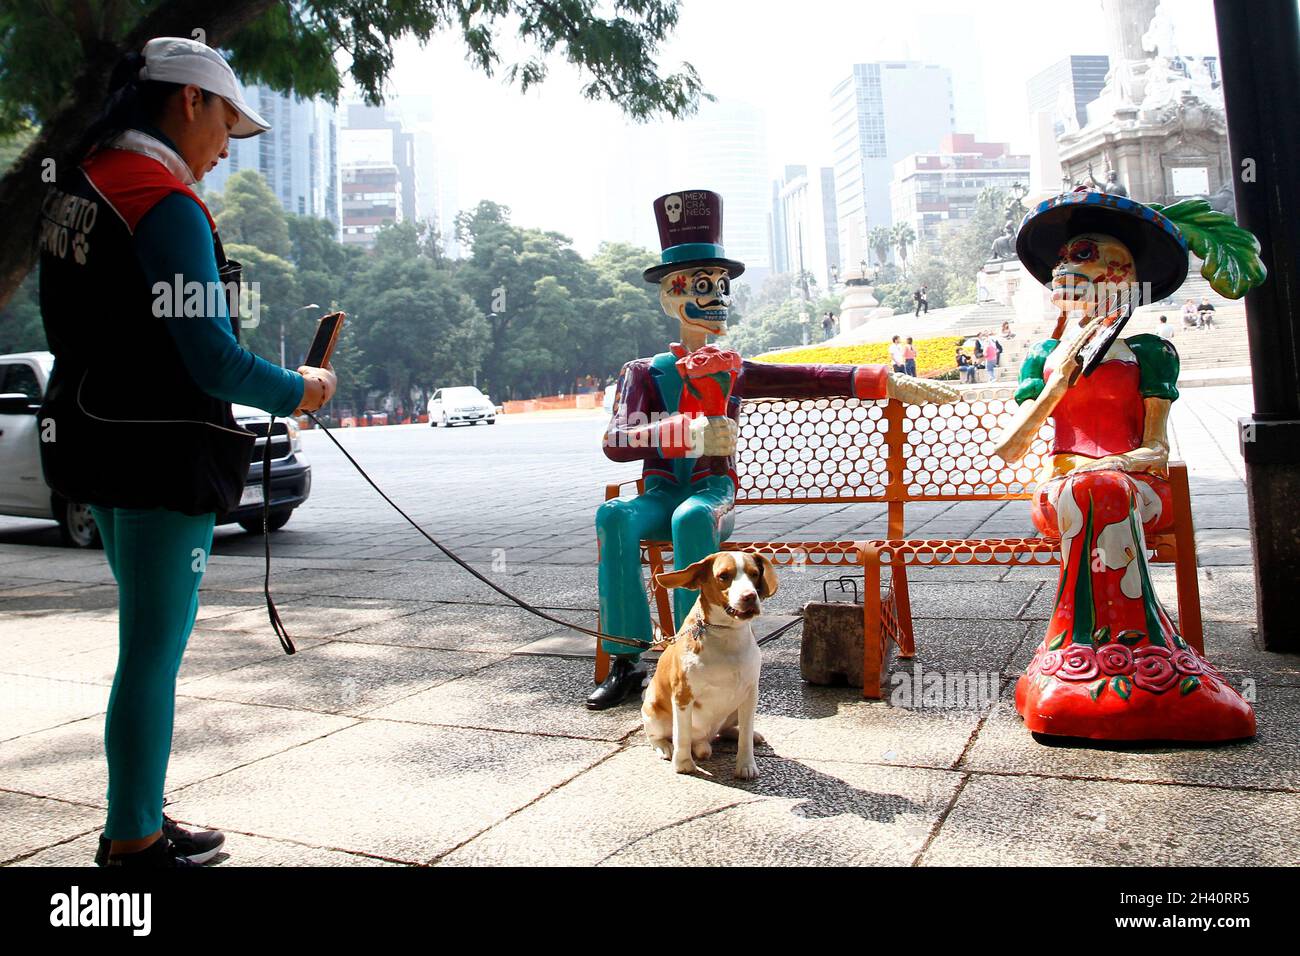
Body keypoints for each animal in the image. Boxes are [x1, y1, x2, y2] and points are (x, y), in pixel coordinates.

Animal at [644, 554, 774, 780]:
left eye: (755, 574)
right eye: (723, 576)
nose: (749, 596)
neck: (726, 633)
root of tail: (704, 739)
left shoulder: (750, 693)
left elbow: (746, 735)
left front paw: (746, 764)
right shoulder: (682, 695)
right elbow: (682, 735)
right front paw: (683, 763)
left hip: (734, 709)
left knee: (726, 730)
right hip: (653, 710)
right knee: (658, 736)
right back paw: (665, 747)